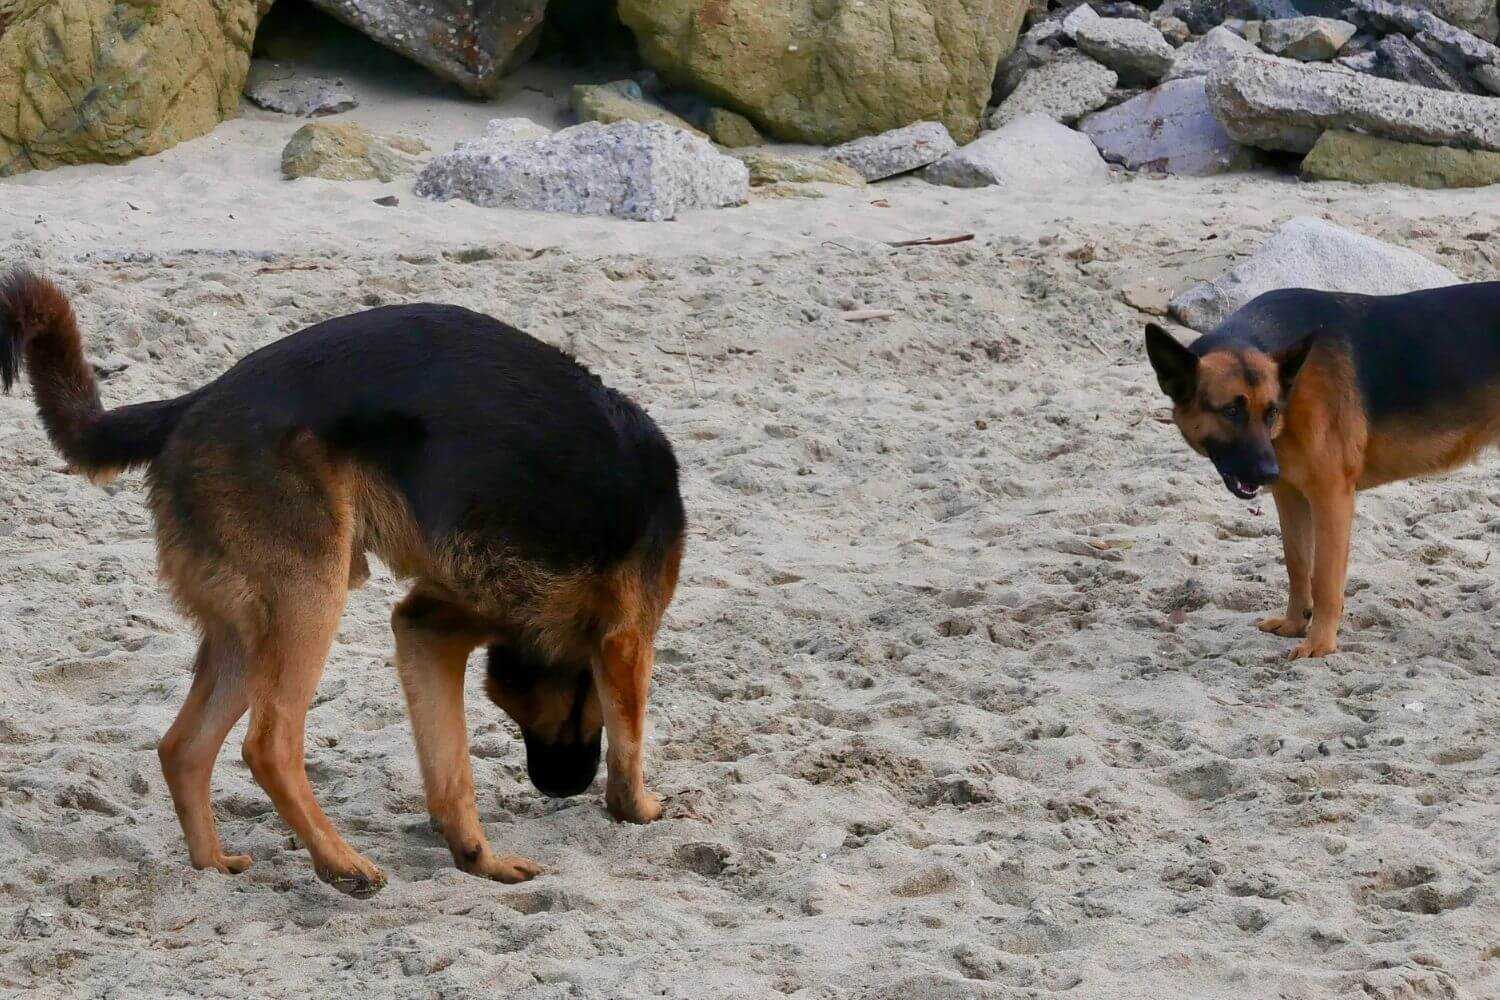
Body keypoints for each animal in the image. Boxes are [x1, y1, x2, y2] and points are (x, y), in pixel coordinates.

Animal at [0, 268, 687, 899]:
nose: (558, 787)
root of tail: (196, 400)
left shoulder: (427, 627)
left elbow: (450, 770)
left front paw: (477, 856)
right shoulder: (627, 639)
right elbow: (627, 745)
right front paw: (639, 807)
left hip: (250, 632)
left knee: (183, 748)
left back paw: (213, 866)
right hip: (309, 599)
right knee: (269, 745)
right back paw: (339, 862)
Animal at [1146, 280, 1500, 665]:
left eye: (1271, 411)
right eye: (1231, 411)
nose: (1268, 472)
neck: (1295, 381)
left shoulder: (1331, 497)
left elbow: (1325, 579)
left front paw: (1321, 643)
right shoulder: (1291, 496)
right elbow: (1298, 565)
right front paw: (1294, 624)